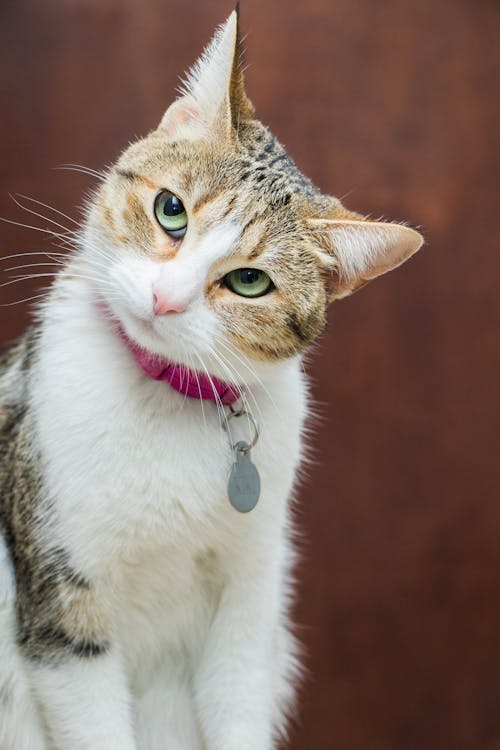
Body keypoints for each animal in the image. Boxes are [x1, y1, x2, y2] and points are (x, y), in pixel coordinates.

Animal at [0, 7, 422, 750]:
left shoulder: (251, 597)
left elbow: (238, 695)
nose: (166, 299)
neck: (167, 394)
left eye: (250, 282)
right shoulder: (62, 606)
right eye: (170, 209)